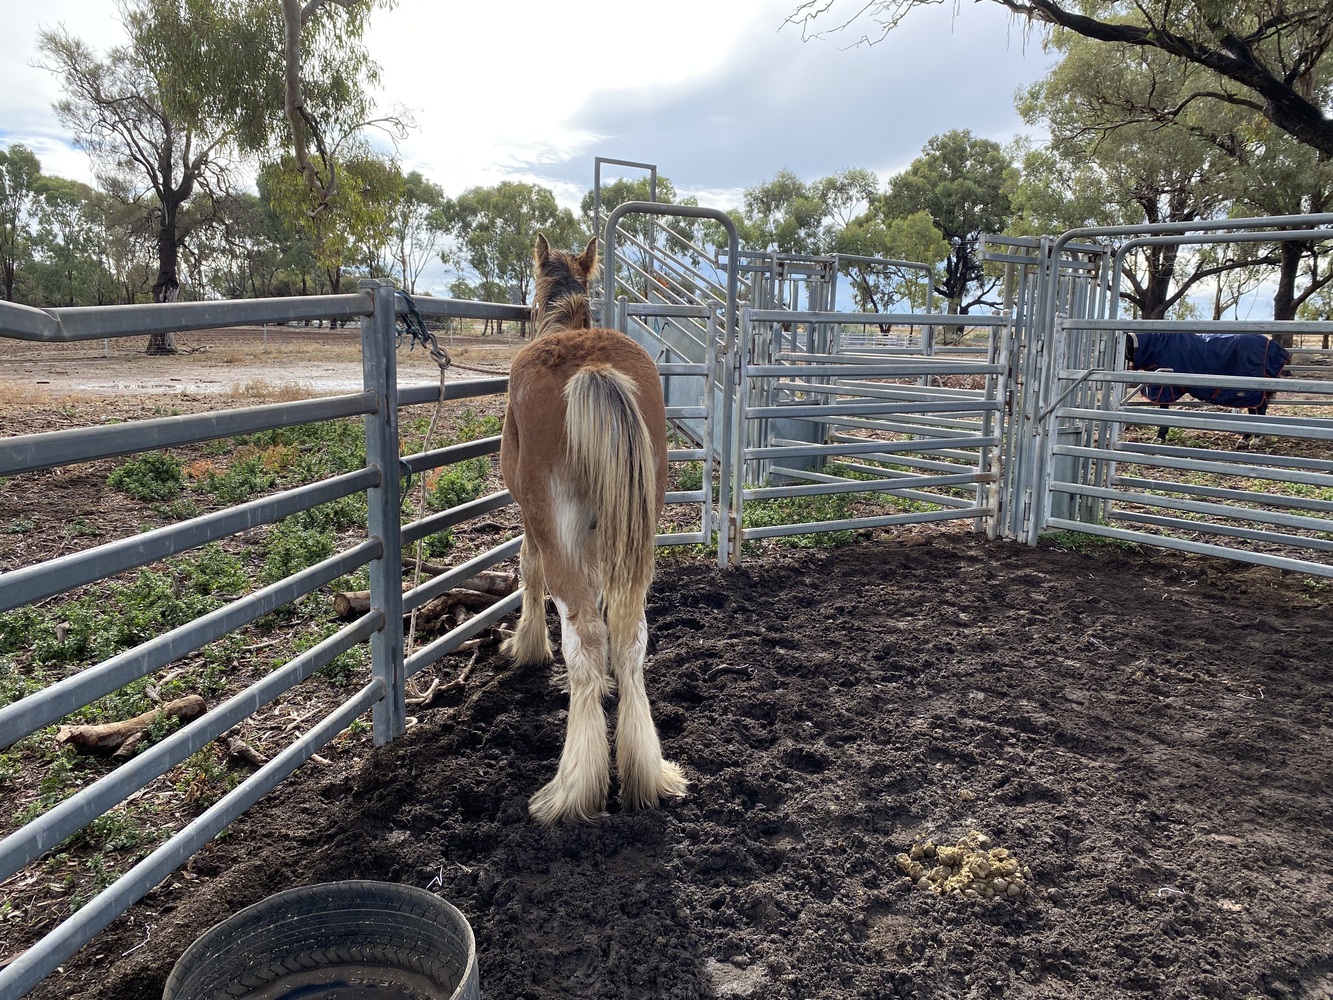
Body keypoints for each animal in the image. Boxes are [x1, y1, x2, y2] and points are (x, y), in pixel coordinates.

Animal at [498, 233, 688, 825]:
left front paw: (527, 644)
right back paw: (645, 771)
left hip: (557, 532)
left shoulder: (534, 524)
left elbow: (527, 570)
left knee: (584, 637)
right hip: (638, 536)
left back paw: (572, 788)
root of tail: (592, 368)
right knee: (629, 637)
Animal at [1124, 331, 1291, 444]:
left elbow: (1164, 410)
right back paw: (1246, 439)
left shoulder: (1165, 387)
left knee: (1259, 409)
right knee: (1254, 409)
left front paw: (1160, 437)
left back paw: (1254, 439)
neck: (1157, 346)